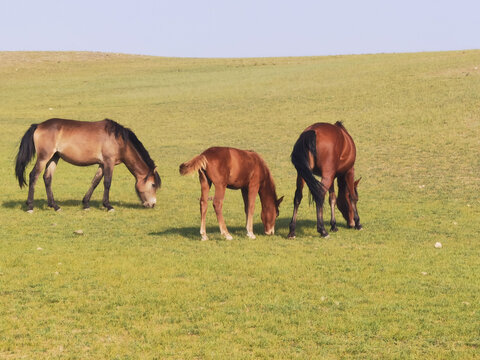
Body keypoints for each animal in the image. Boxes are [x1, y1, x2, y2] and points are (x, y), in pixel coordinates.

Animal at [14, 118, 161, 212]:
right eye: (153, 185)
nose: (153, 204)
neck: (119, 140)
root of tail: (39, 125)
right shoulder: (109, 162)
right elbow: (107, 183)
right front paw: (108, 206)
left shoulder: (102, 164)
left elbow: (95, 182)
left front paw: (86, 204)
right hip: (44, 157)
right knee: (33, 176)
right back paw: (30, 206)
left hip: (54, 157)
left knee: (47, 178)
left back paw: (55, 206)